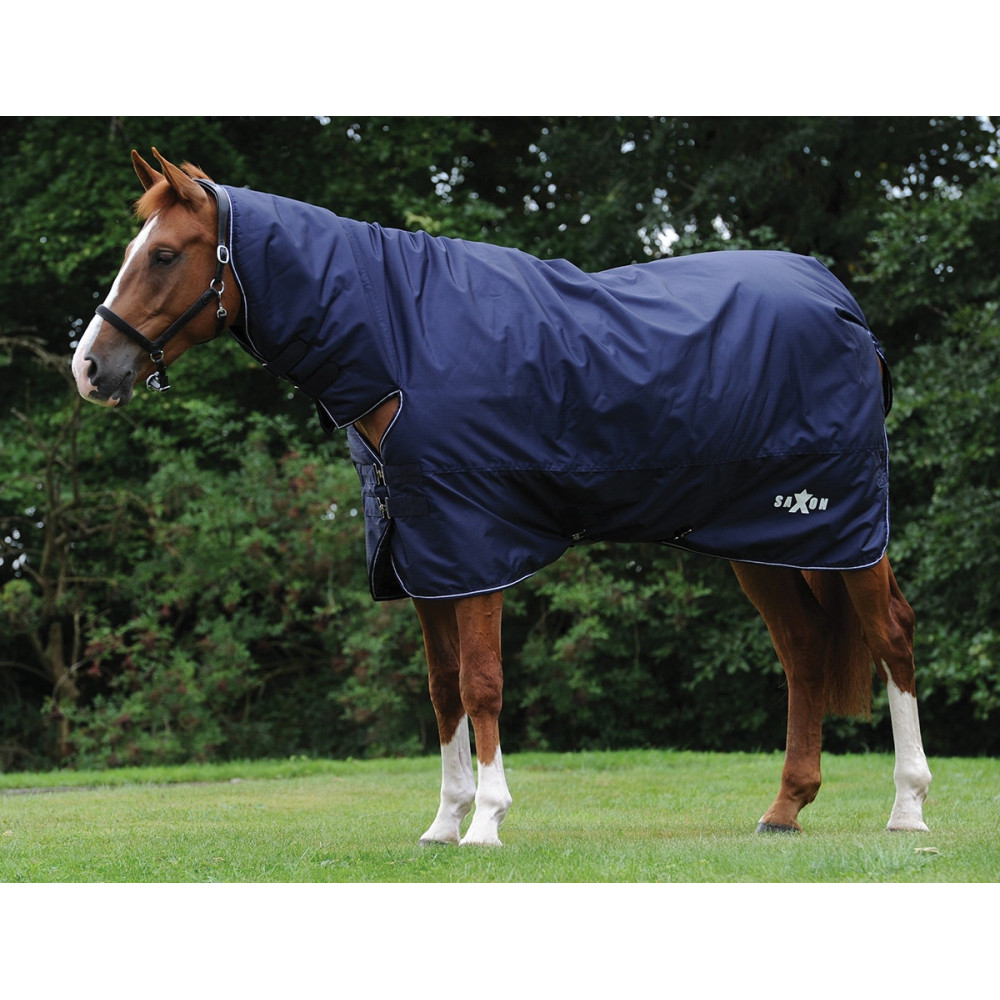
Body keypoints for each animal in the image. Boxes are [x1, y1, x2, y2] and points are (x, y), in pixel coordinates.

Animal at [71, 148, 931, 845]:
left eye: (164, 254)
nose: (89, 368)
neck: (402, 342)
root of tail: (842, 302)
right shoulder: (422, 555)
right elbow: (442, 688)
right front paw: (443, 822)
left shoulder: (475, 544)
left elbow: (482, 682)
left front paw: (486, 820)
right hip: (762, 540)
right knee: (805, 652)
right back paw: (785, 810)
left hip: (845, 527)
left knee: (890, 634)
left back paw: (908, 809)